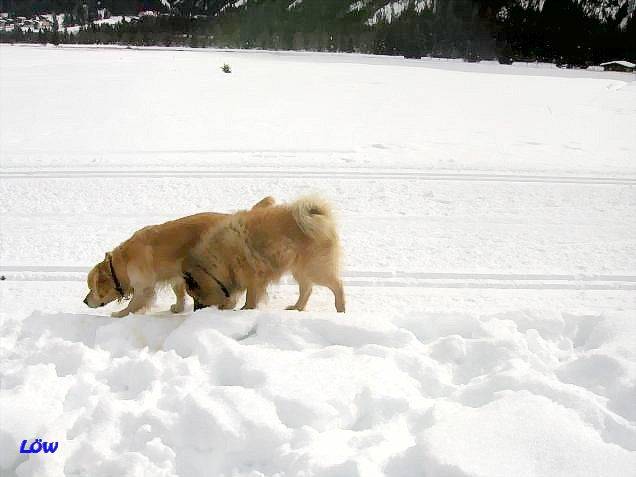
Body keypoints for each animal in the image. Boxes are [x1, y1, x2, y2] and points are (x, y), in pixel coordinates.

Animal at [84, 195, 274, 318]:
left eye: (92, 289)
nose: (85, 301)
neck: (123, 261)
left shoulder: (144, 286)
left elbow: (134, 304)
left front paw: (119, 314)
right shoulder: (176, 273)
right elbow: (178, 290)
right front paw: (178, 307)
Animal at [181, 194, 346, 310]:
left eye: (196, 298)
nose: (195, 310)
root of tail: (322, 218)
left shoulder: (253, 277)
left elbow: (250, 296)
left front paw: (246, 309)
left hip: (315, 269)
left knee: (337, 285)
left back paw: (340, 310)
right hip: (300, 270)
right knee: (307, 290)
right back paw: (297, 308)